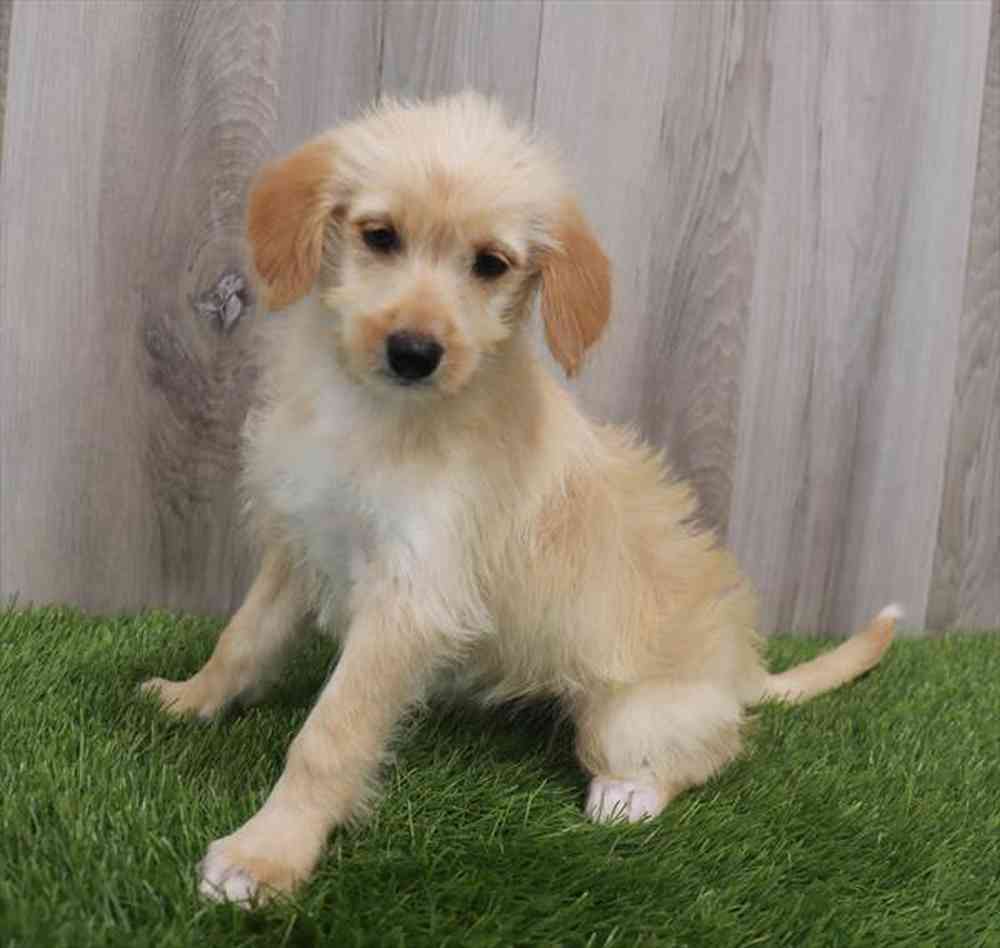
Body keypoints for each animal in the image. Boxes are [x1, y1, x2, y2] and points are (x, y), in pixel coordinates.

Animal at [141, 92, 897, 905]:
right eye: (380, 237)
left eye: (490, 265)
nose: (414, 352)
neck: (376, 413)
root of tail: (741, 668)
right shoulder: (301, 541)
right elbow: (242, 638)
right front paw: (191, 698)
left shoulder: (411, 596)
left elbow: (329, 735)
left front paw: (266, 853)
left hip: (632, 716)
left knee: (709, 748)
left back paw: (627, 793)